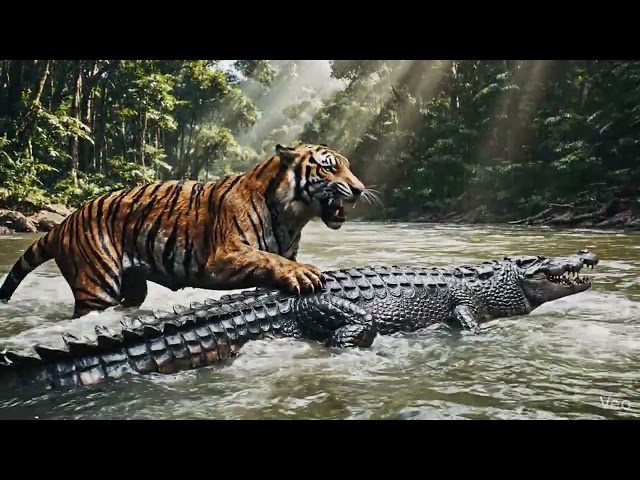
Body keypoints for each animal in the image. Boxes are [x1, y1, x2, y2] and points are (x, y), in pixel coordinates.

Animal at [0, 143, 366, 318]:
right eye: (329, 167)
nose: (360, 189)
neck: (293, 216)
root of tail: (65, 222)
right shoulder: (223, 256)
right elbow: (269, 259)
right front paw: (303, 273)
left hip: (132, 285)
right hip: (96, 286)